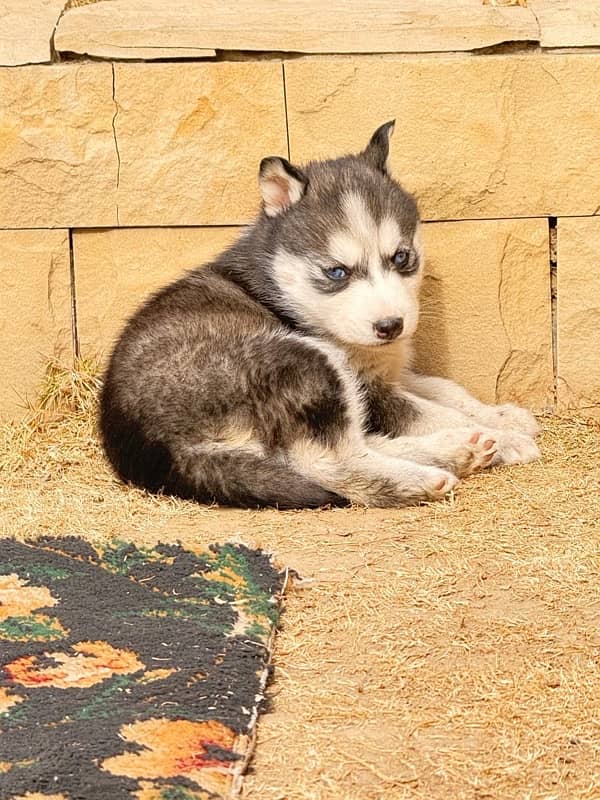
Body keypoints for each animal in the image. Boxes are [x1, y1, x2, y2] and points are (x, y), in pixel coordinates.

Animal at [101, 122, 540, 510]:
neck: (281, 288)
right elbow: (431, 411)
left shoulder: (383, 374)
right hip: (304, 361)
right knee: (329, 462)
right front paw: (507, 437)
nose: (390, 327)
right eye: (337, 272)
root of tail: (160, 447)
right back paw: (424, 475)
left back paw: (456, 449)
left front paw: (501, 417)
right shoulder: (369, 387)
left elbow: (448, 391)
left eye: (401, 257)